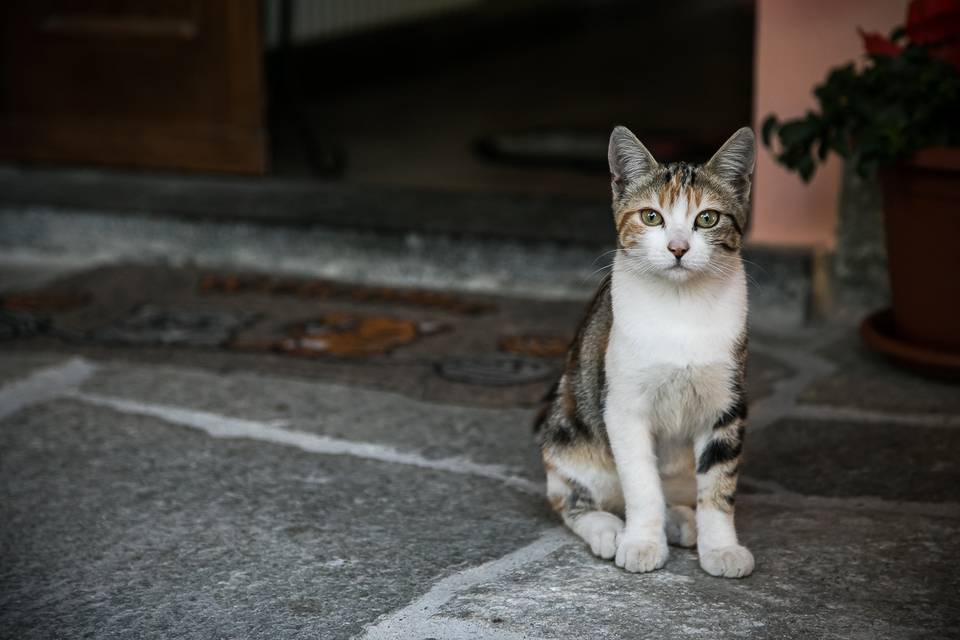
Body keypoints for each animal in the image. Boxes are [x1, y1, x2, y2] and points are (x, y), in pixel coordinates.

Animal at [536, 125, 752, 580]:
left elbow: (719, 484)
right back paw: (608, 528)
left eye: (707, 218)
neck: (680, 305)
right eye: (651, 216)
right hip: (568, 435)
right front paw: (641, 543)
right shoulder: (623, 406)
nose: (678, 248)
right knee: (571, 499)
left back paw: (681, 519)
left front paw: (721, 548)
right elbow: (640, 482)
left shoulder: (728, 404)